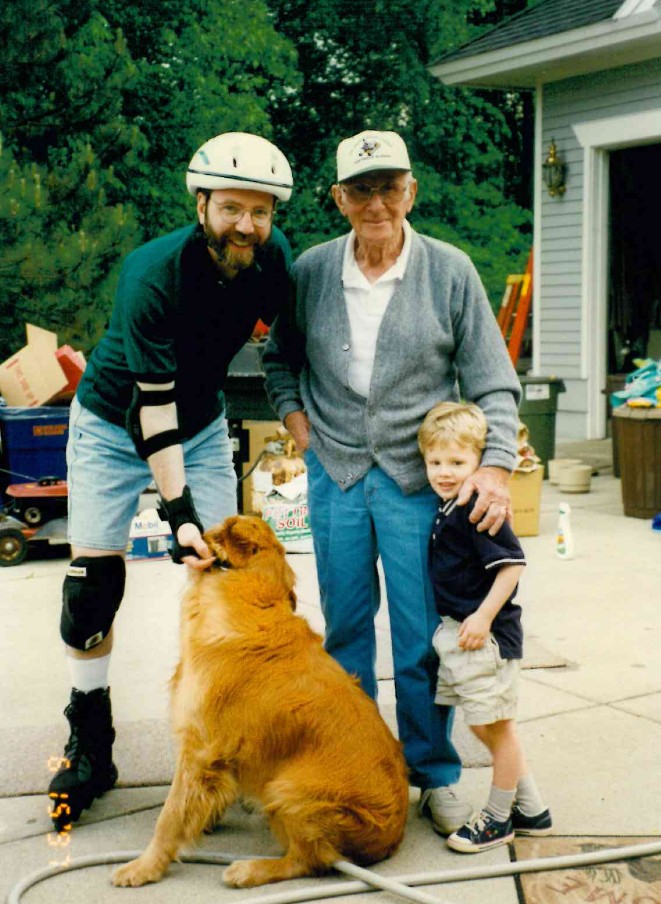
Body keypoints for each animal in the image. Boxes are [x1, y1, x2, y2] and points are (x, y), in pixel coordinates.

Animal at [113, 516, 408, 888]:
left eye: (215, 530)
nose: (177, 542)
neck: (252, 594)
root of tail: (393, 838)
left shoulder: (197, 747)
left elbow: (169, 816)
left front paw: (144, 867)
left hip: (286, 790)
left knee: (309, 861)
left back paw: (249, 869)